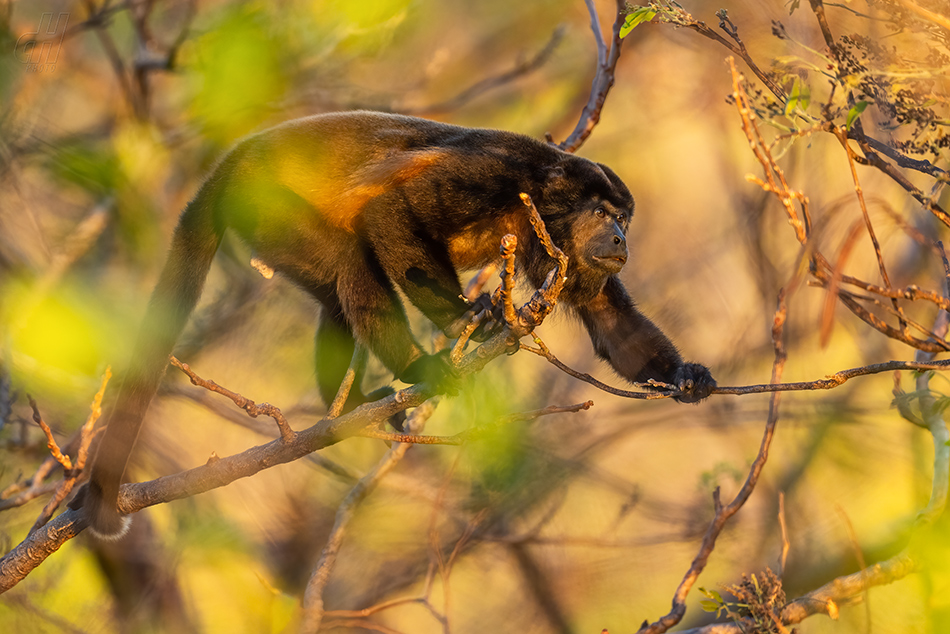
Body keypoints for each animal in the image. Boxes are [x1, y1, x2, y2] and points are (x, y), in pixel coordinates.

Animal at [74, 111, 712, 536]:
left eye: (625, 218)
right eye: (604, 214)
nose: (623, 239)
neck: (543, 201)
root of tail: (229, 165)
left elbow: (610, 319)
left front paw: (686, 376)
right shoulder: (495, 178)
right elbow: (391, 211)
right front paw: (466, 317)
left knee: (335, 298)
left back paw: (350, 401)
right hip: (266, 207)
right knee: (353, 258)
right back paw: (417, 365)